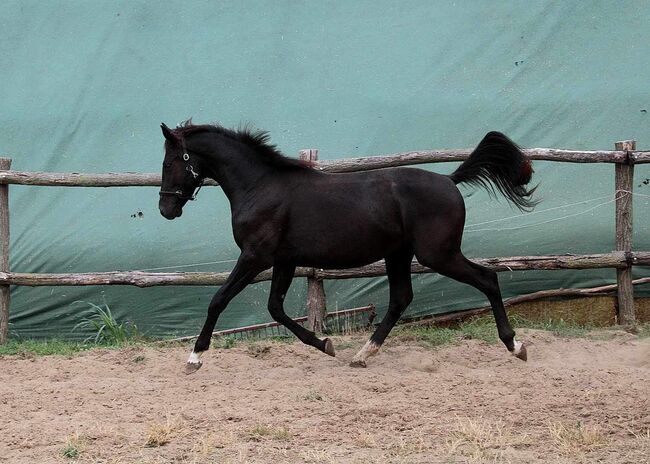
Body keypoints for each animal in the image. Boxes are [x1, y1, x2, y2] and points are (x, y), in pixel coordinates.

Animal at [159, 120, 536, 374]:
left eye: (169, 162)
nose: (166, 209)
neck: (261, 187)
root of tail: (449, 180)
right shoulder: (284, 260)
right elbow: (275, 308)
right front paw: (325, 344)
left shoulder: (255, 257)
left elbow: (219, 300)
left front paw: (194, 358)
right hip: (399, 254)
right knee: (401, 298)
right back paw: (362, 354)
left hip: (437, 254)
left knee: (487, 279)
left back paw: (515, 345)